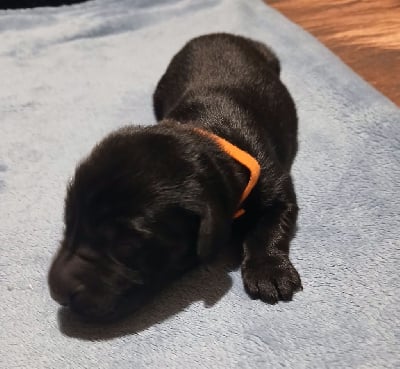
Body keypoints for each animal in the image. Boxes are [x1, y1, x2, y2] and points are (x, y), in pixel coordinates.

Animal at [48, 33, 302, 320]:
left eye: (127, 245)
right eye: (68, 222)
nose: (56, 292)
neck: (207, 134)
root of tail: (214, 34)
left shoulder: (275, 182)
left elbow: (269, 225)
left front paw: (269, 271)